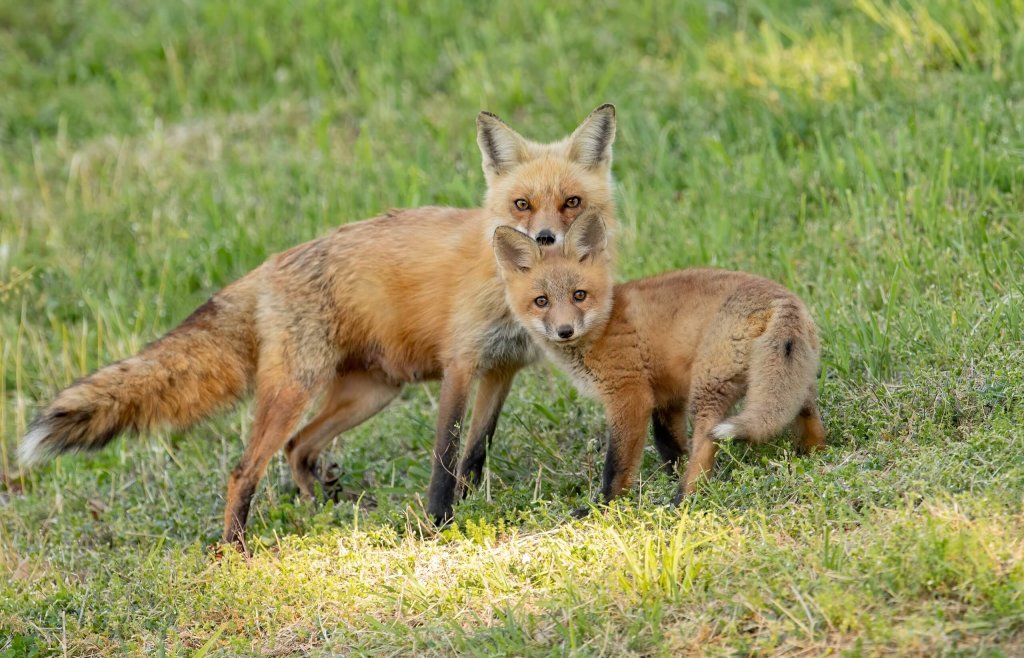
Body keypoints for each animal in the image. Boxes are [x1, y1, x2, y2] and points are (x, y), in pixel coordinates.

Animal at [22, 105, 614, 548]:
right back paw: (236, 549)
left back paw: (320, 509)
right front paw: (439, 524)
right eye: (522, 204)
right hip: (296, 390)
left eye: (571, 202)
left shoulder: (502, 368)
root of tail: (267, 266)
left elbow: (474, 453)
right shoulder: (462, 365)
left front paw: (468, 506)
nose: (545, 239)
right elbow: (444, 458)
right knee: (245, 470)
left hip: (369, 393)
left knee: (297, 448)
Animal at [493, 213, 823, 507]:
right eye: (541, 301)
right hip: (791, 380)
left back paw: (685, 497)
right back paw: (813, 454)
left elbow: (617, 466)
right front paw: (668, 478)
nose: (565, 331)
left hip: (708, 389)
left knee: (706, 442)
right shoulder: (666, 398)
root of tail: (780, 297)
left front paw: (605, 507)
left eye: (579, 295)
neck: (604, 325)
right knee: (808, 415)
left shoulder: (630, 395)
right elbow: (670, 447)